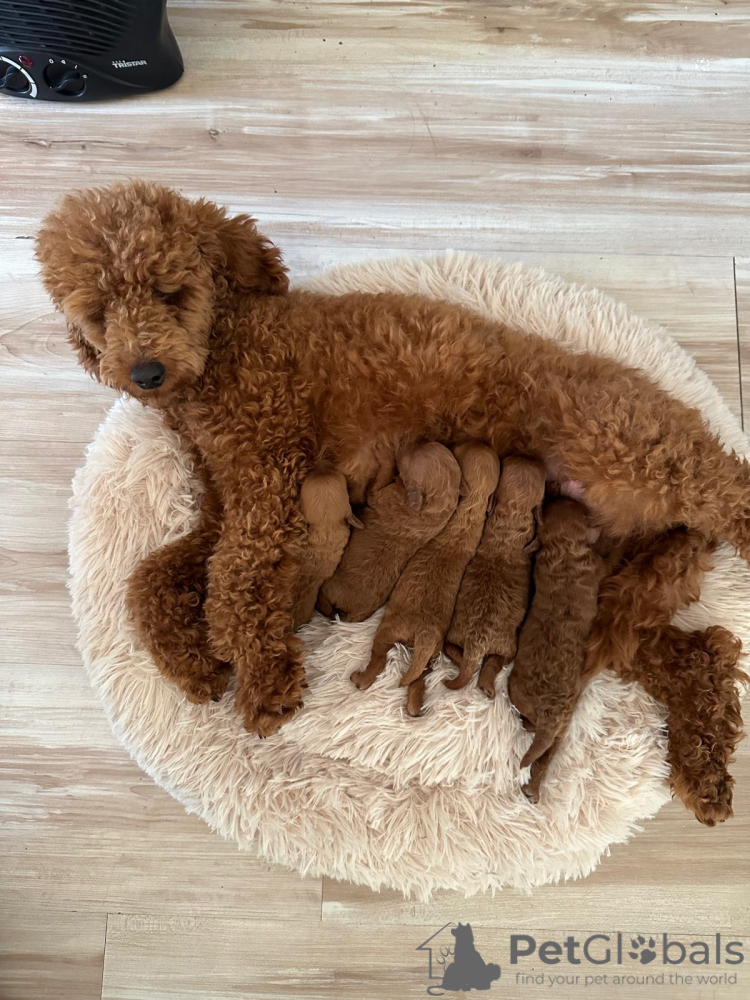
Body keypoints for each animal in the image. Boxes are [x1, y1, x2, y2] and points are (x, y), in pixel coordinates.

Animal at [350, 442, 499, 716]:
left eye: (405, 460)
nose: (406, 443)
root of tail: (425, 637)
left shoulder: (383, 496)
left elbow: (376, 485)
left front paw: (383, 457)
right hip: (430, 658)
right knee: (417, 679)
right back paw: (414, 707)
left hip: (388, 631)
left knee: (378, 660)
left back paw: (361, 679)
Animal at [442, 455, 546, 694]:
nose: (527, 454)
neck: (511, 518)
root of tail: (475, 644)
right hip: (508, 646)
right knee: (495, 661)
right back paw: (487, 684)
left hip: (456, 633)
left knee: (452, 649)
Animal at [507, 497, 606, 802]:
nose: (560, 495)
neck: (564, 549)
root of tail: (551, 713)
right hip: (554, 721)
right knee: (544, 750)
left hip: (530, 703)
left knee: (537, 738)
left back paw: (532, 789)